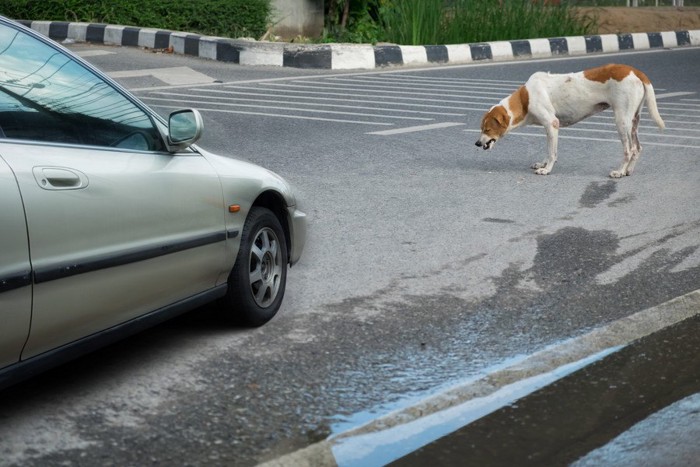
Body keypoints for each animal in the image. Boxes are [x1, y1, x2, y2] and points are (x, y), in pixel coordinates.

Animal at [476, 64, 668, 177]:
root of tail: (635, 71)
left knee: (629, 150)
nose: (477, 143)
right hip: (633, 122)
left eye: (487, 129)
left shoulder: (552, 124)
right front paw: (543, 163)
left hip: (621, 121)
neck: (525, 98)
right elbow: (548, 149)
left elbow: (552, 153)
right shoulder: (549, 129)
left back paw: (620, 171)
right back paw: (628, 170)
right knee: (638, 148)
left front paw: (547, 169)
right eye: (482, 128)